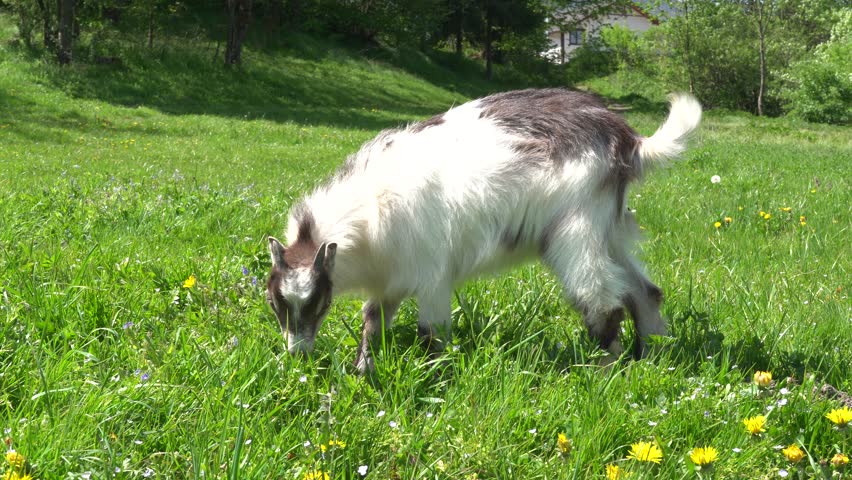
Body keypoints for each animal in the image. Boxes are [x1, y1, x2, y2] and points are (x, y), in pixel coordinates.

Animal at [266, 88, 701, 373]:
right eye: (275, 302)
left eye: (317, 302)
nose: (297, 354)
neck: (373, 210)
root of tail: (628, 139)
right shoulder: (391, 277)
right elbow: (373, 323)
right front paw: (363, 372)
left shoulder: (432, 275)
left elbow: (431, 332)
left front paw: (434, 377)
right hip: (610, 229)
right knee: (645, 292)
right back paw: (653, 359)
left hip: (576, 231)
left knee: (603, 302)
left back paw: (606, 371)